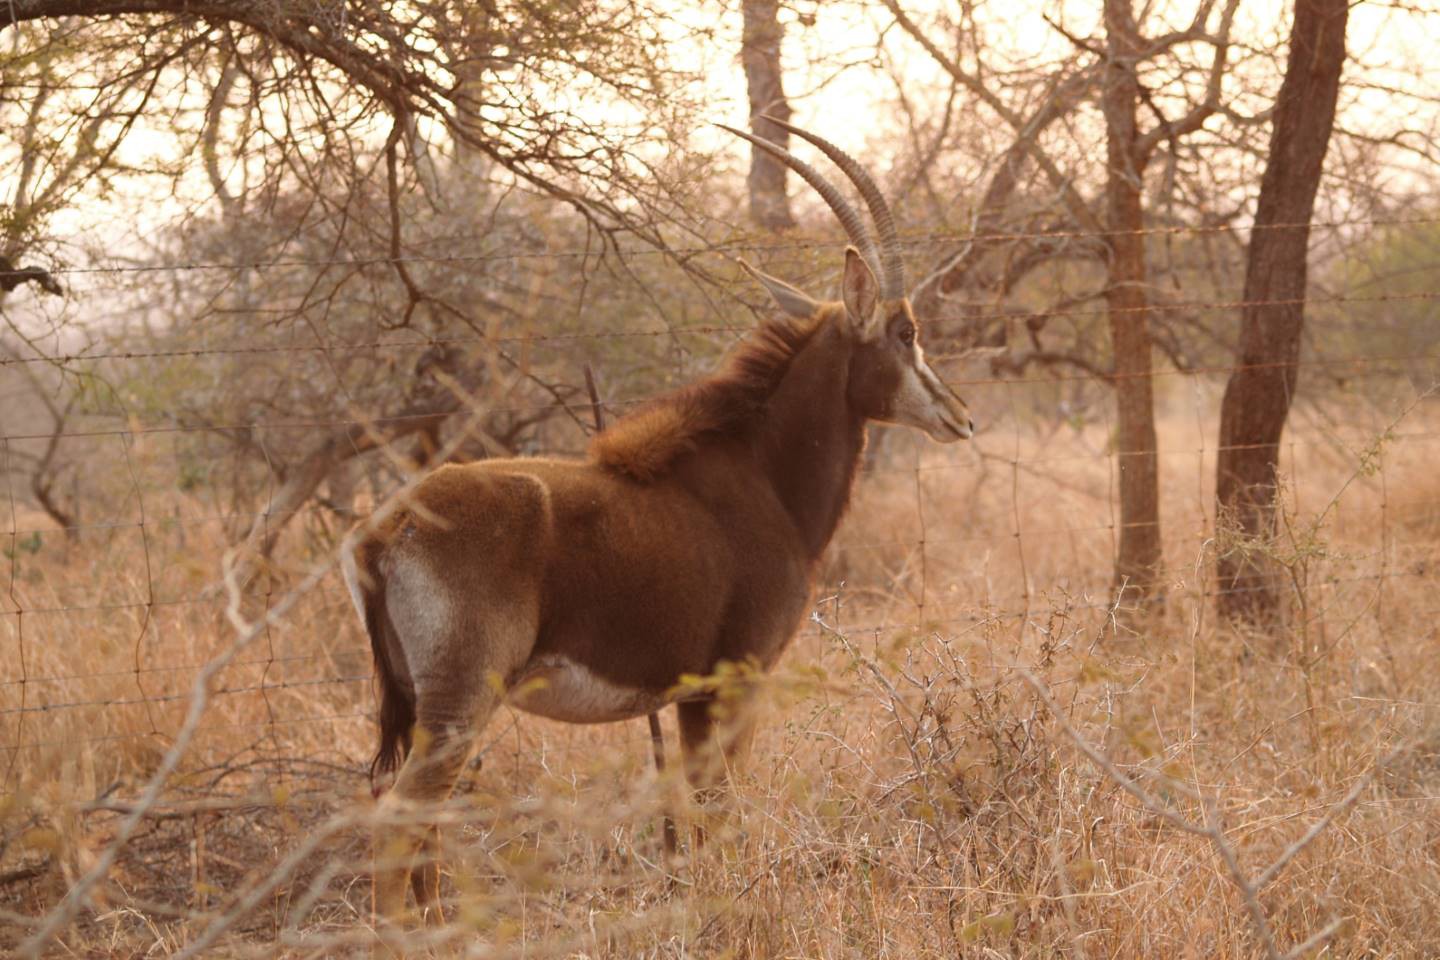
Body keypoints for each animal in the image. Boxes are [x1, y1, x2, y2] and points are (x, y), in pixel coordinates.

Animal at [345, 118, 979, 932]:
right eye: (905, 332)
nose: (960, 415)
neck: (763, 475)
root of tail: (386, 529)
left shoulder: (689, 699)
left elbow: (696, 814)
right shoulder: (735, 681)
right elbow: (716, 810)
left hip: (425, 707)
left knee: (419, 826)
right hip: (460, 702)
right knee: (400, 820)